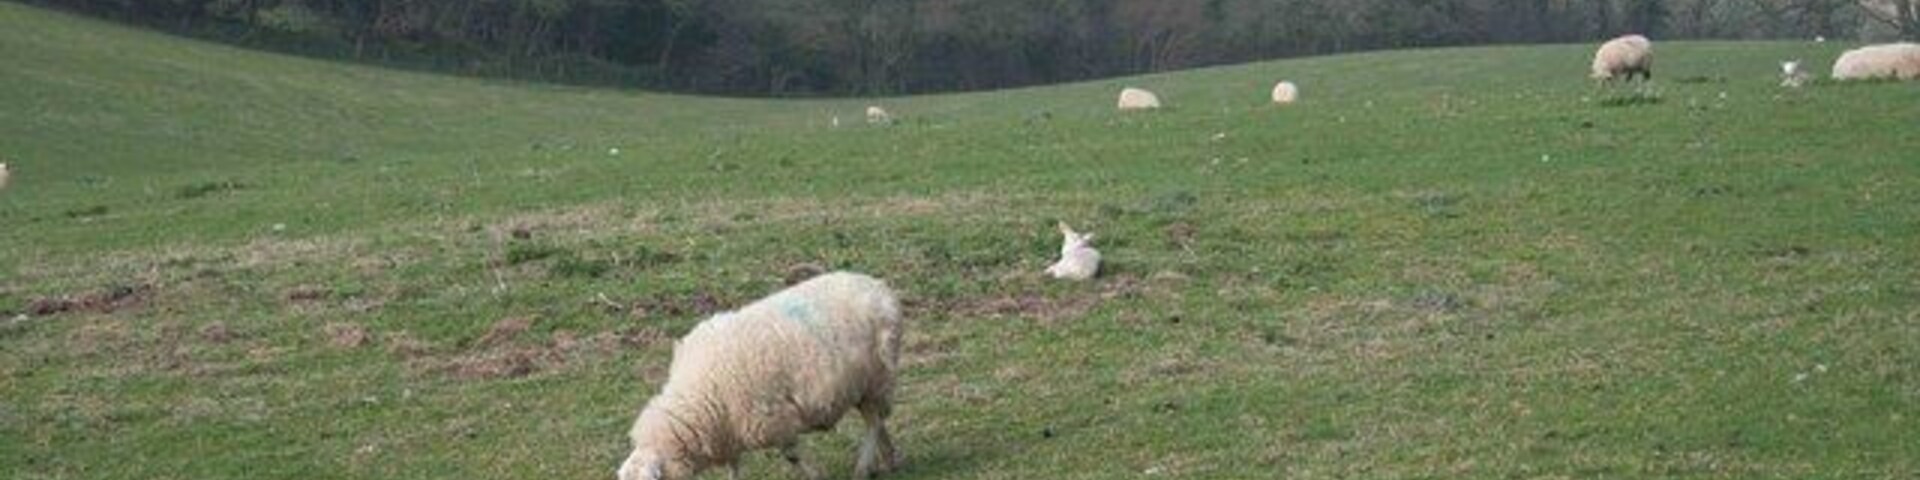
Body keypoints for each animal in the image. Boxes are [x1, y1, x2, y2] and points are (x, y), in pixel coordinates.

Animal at [617, 271, 905, 480]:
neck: (700, 395)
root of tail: (878, 286)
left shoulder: (774, 421)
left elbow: (792, 456)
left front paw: (815, 475)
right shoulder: (728, 431)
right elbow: (734, 467)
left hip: (877, 377)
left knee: (873, 423)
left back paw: (863, 467)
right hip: (864, 386)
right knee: (877, 420)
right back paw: (887, 460)